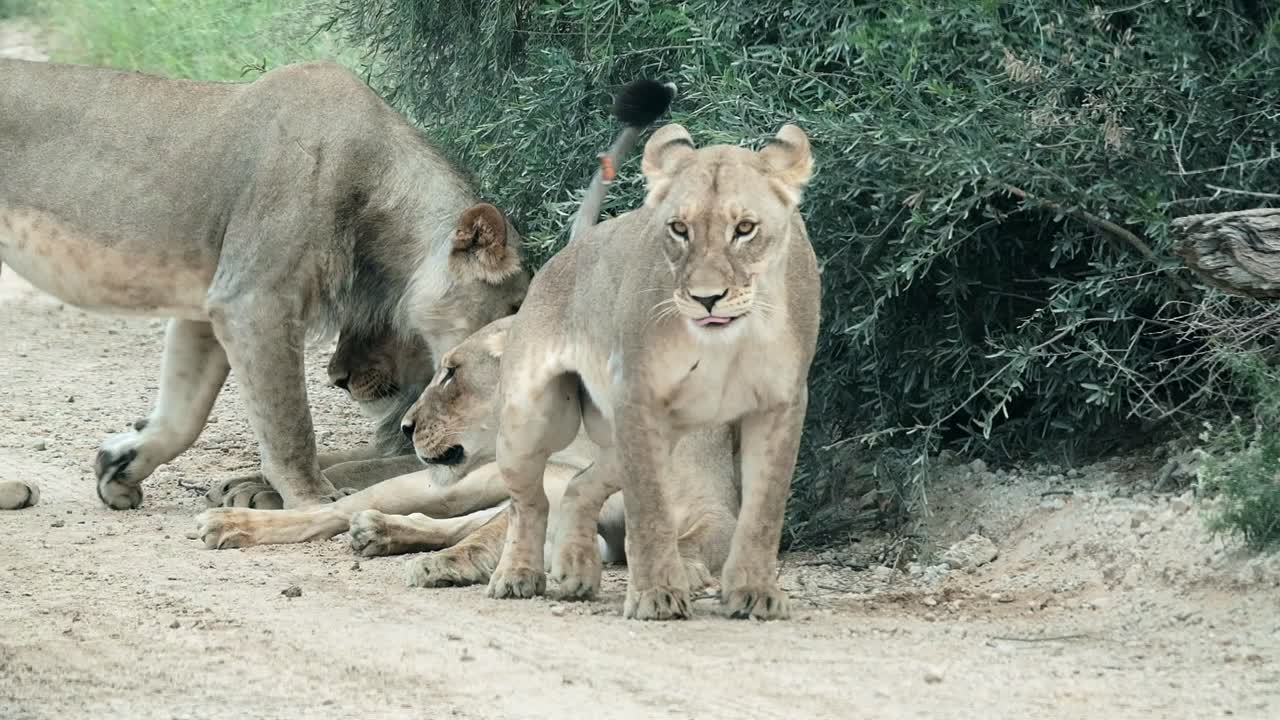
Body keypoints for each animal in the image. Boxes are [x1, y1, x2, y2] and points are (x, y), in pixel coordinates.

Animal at [0, 58, 528, 510]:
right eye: (516, 306)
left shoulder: (210, 299)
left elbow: (184, 412)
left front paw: (121, 467)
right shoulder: (253, 300)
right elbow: (290, 419)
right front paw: (313, 499)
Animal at [487, 93, 820, 621]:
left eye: (745, 229)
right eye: (679, 229)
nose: (707, 299)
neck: (728, 342)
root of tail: (576, 246)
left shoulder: (781, 403)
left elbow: (764, 509)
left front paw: (755, 593)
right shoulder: (637, 397)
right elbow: (649, 510)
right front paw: (657, 595)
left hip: (635, 435)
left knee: (580, 486)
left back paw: (576, 573)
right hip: (530, 418)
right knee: (529, 501)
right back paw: (519, 575)